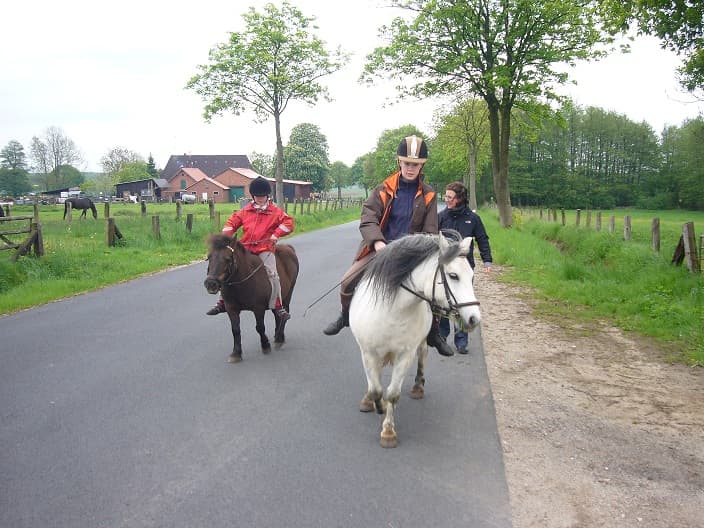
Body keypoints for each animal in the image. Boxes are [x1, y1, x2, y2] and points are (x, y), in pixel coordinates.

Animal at [202, 234, 298, 364]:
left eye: (227, 259)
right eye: (209, 257)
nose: (211, 284)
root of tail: (288, 248)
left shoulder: (258, 308)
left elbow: (260, 327)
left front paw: (265, 345)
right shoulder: (231, 309)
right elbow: (235, 330)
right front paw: (236, 353)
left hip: (287, 294)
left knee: (284, 313)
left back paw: (279, 338)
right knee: (277, 315)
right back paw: (278, 336)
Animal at [350, 231, 482, 446]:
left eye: (472, 276)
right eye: (453, 276)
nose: (474, 319)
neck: (393, 311)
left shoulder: (405, 355)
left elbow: (393, 394)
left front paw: (388, 431)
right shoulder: (368, 353)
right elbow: (376, 389)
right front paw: (376, 404)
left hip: (420, 344)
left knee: (423, 354)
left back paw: (418, 386)